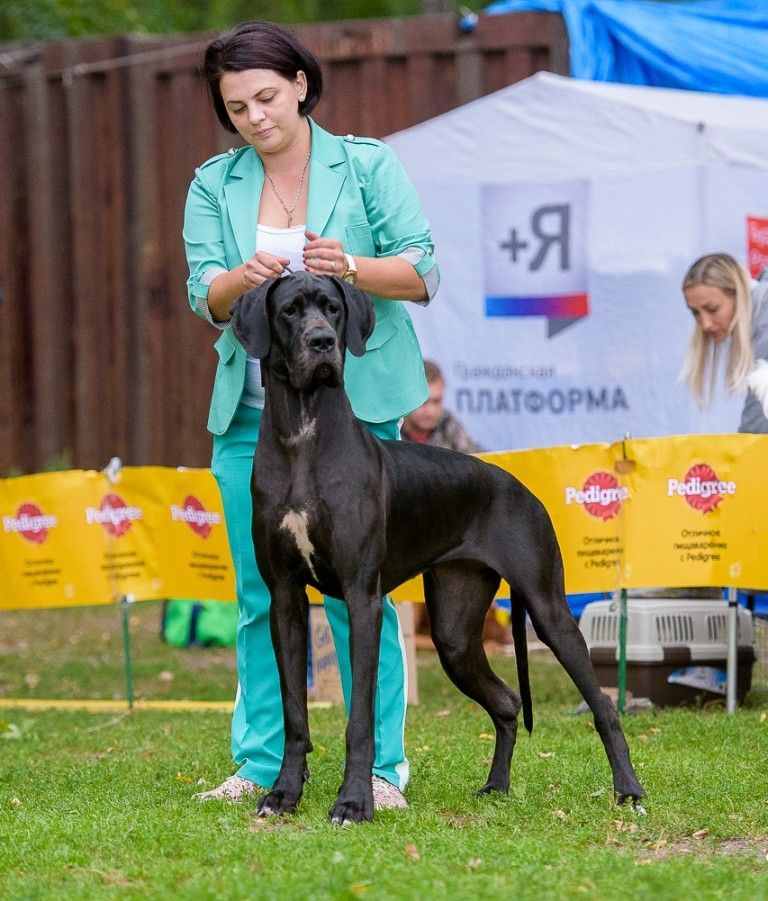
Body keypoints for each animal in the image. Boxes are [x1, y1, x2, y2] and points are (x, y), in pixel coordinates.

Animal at [230, 271, 645, 825]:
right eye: (291, 311)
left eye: (333, 309)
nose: (321, 342)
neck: (304, 430)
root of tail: (522, 487)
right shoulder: (285, 599)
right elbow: (295, 714)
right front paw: (284, 794)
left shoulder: (362, 598)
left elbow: (361, 718)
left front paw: (354, 802)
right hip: (454, 631)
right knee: (508, 701)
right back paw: (497, 786)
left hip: (549, 610)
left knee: (603, 705)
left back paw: (629, 790)